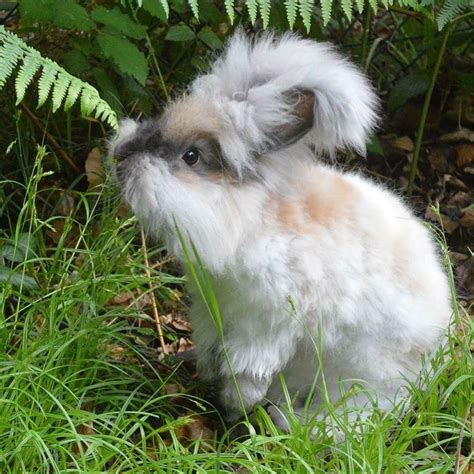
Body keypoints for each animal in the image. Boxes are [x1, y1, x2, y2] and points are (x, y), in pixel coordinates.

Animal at [111, 29, 452, 430]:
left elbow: (246, 375)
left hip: (367, 377)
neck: (249, 222)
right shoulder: (211, 311)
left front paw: (233, 411)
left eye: (191, 156)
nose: (120, 156)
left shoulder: (267, 324)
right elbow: (211, 350)